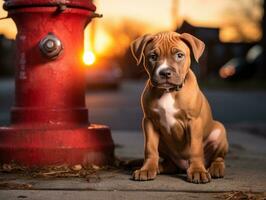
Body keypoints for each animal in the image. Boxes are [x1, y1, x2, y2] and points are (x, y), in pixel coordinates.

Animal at [131, 31, 229, 184]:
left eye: (179, 55)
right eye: (153, 56)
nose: (165, 72)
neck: (168, 91)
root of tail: (182, 166)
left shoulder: (194, 122)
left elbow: (195, 148)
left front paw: (197, 171)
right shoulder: (149, 121)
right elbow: (150, 148)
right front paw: (146, 169)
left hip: (220, 130)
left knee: (218, 157)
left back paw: (215, 169)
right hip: (163, 143)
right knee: (170, 163)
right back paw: (158, 167)